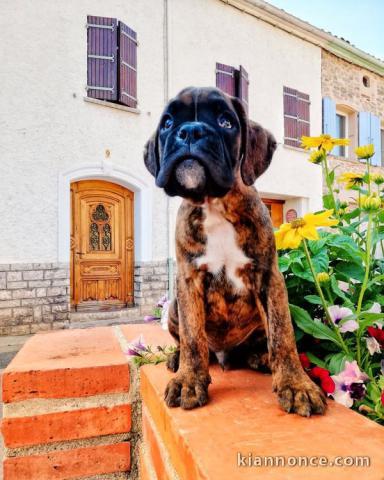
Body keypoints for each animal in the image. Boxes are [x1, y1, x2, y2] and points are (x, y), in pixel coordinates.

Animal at [144, 86, 328, 416]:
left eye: (225, 122)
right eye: (167, 123)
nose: (190, 131)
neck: (215, 204)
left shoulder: (269, 278)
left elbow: (282, 335)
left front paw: (296, 385)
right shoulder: (189, 280)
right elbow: (193, 337)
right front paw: (189, 379)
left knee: (262, 342)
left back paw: (260, 358)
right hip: (174, 306)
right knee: (190, 342)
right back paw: (178, 359)